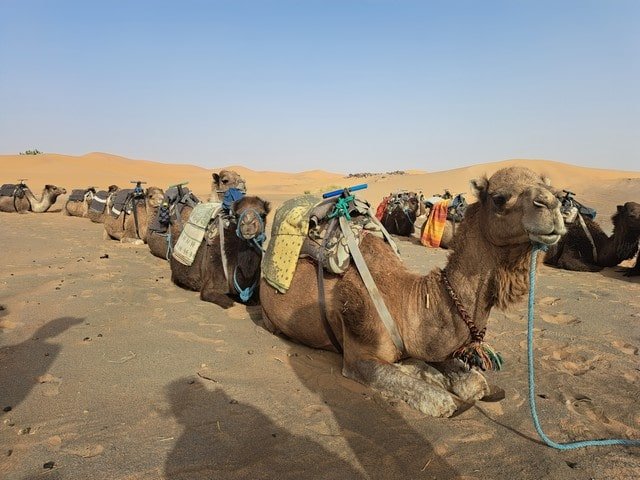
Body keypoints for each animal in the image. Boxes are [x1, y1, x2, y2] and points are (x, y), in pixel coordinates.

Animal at [260, 167, 565, 417]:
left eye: (551, 189)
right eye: (499, 198)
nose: (552, 206)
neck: (407, 300)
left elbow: (473, 380)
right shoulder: (358, 356)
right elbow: (441, 400)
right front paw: (437, 385)